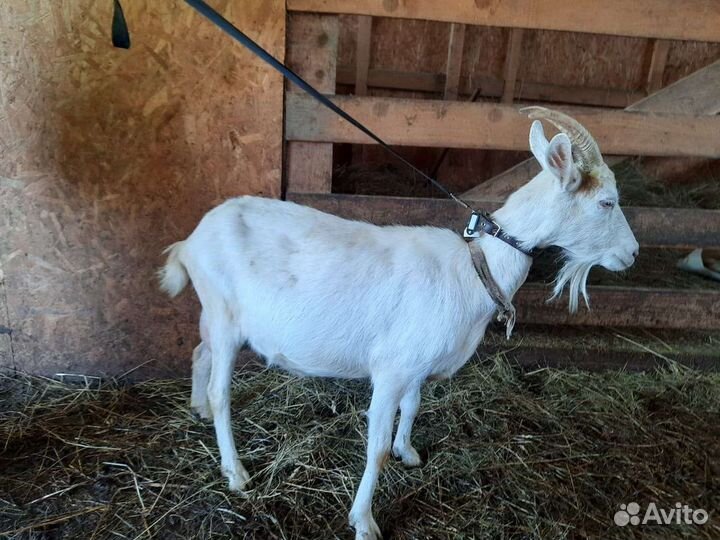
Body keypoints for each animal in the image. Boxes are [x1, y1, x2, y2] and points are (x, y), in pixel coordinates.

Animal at [159, 108, 639, 539]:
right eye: (607, 202)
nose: (632, 253)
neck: (473, 267)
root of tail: (190, 241)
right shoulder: (391, 369)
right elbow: (375, 450)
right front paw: (364, 521)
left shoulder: (415, 364)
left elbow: (414, 406)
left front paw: (407, 451)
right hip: (225, 316)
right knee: (222, 391)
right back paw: (235, 471)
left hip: (212, 312)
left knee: (199, 352)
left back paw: (198, 409)